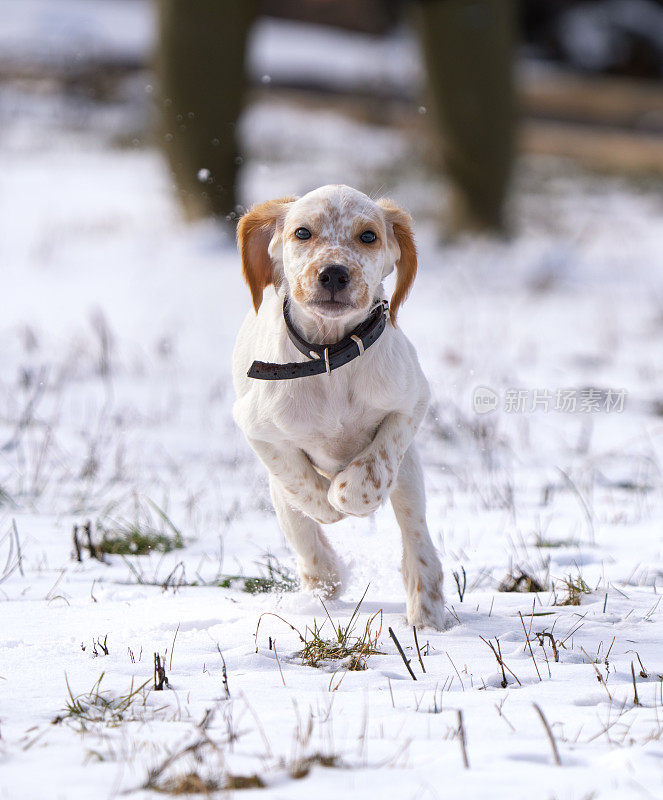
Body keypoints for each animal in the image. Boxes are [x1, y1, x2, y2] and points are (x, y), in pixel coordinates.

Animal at [233, 184, 446, 628]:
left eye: (368, 236)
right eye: (302, 233)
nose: (333, 273)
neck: (331, 353)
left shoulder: (411, 402)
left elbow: (371, 471)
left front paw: (349, 496)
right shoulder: (257, 428)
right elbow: (301, 484)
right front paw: (327, 509)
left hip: (410, 476)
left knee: (415, 534)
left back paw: (427, 613)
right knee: (298, 524)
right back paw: (323, 578)